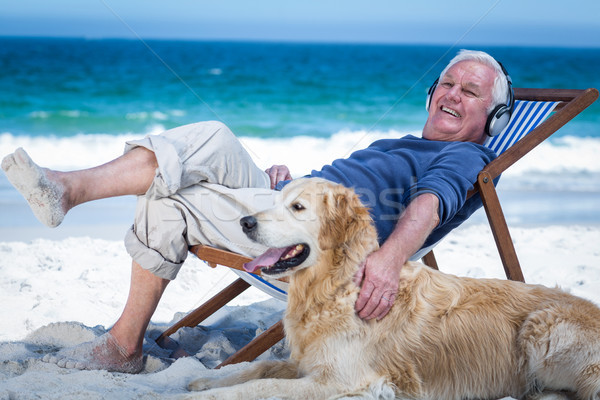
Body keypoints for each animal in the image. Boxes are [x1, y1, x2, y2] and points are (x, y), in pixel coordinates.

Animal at [188, 179, 600, 400]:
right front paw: (205, 379)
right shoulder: (309, 362)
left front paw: (208, 393)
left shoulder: (338, 379)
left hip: (542, 330)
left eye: (298, 207)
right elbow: (258, 368)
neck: (336, 286)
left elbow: (257, 387)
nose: (245, 221)